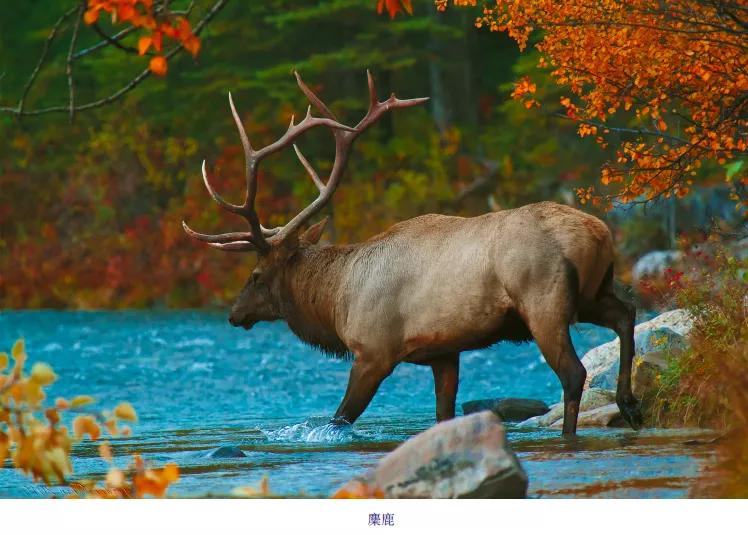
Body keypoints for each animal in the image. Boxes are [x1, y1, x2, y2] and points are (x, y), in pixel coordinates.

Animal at [183, 70, 644, 436]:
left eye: (256, 275)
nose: (234, 314)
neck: (335, 300)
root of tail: (598, 232)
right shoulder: (444, 352)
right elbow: (442, 414)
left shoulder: (372, 351)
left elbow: (340, 418)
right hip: (590, 293)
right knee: (625, 313)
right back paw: (629, 405)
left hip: (544, 302)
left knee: (573, 372)